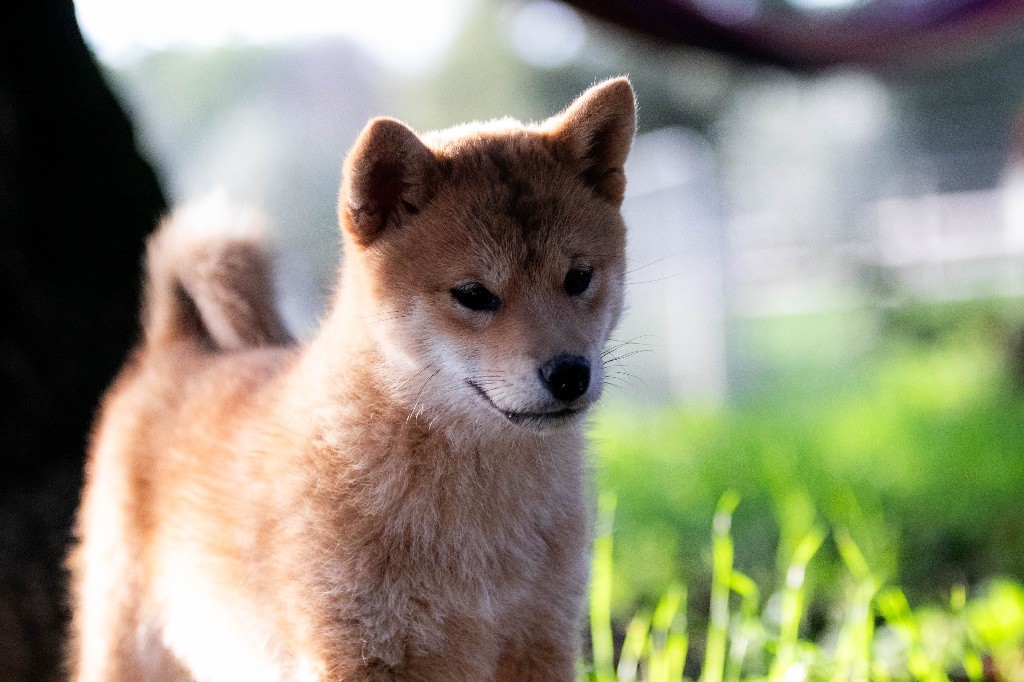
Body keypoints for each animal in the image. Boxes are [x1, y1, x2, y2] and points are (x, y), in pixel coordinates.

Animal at [66, 76, 630, 675]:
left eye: (578, 278)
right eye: (474, 294)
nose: (569, 374)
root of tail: (175, 347)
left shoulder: (541, 639)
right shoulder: (355, 651)